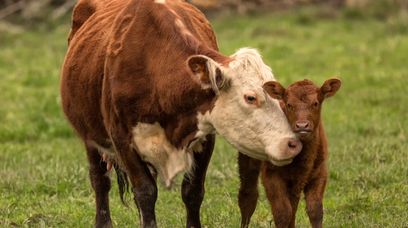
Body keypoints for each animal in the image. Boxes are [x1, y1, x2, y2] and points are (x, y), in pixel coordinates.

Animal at [60, 0, 302, 227]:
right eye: (250, 97)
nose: (293, 143)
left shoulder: (206, 136)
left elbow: (192, 191)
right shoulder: (122, 139)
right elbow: (145, 192)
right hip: (90, 137)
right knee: (100, 179)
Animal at [237, 78, 340, 228]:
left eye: (315, 103)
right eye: (289, 105)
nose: (302, 125)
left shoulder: (320, 173)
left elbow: (315, 210)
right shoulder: (271, 175)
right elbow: (283, 213)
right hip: (248, 158)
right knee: (248, 195)